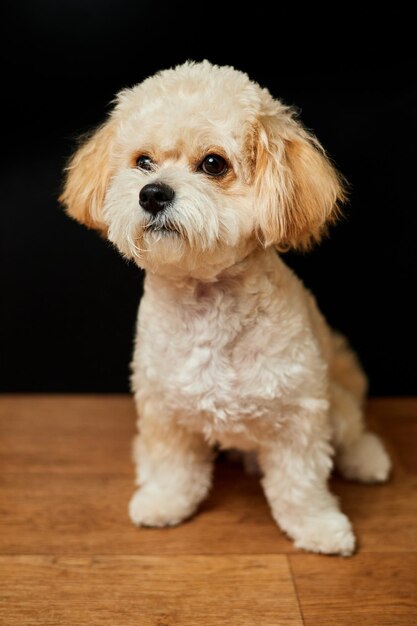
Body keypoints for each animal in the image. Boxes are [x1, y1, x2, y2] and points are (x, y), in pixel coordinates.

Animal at [61, 61, 390, 552]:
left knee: (352, 431)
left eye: (213, 164)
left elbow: (301, 485)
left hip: (335, 401)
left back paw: (368, 459)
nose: (152, 193)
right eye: (143, 161)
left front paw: (319, 527)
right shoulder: (164, 411)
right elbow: (174, 468)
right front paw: (163, 502)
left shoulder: (299, 416)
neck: (207, 306)